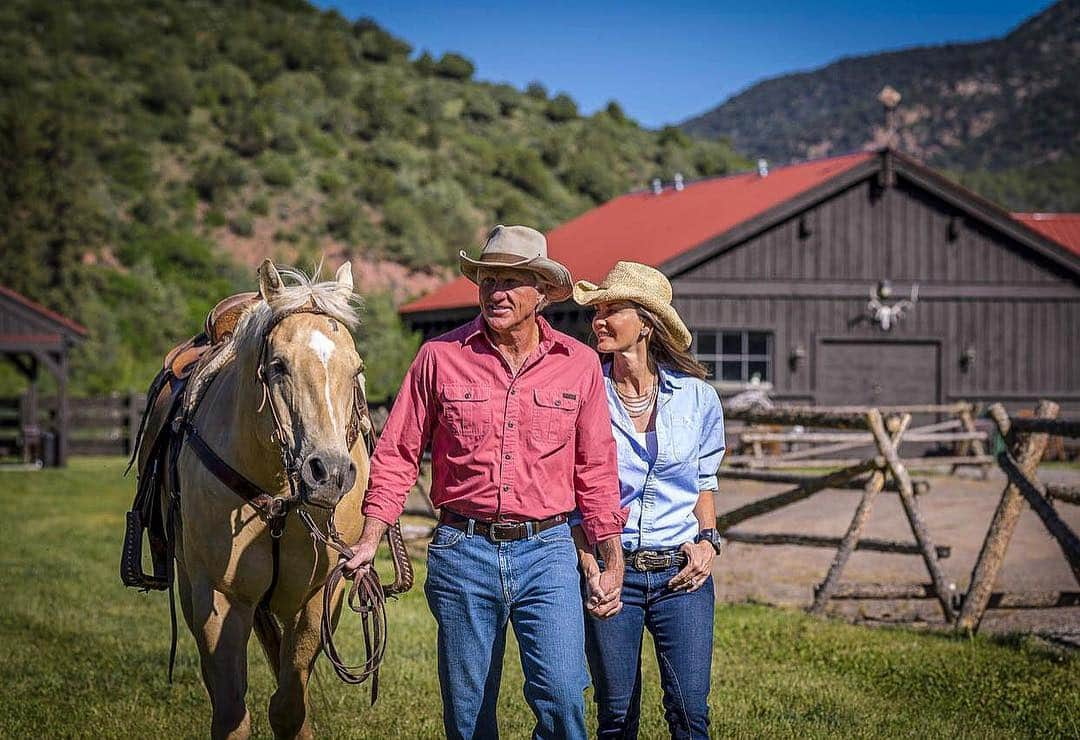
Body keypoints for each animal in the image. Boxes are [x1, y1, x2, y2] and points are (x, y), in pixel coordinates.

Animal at [139, 261, 386, 738]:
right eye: (278, 365)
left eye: (357, 369)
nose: (329, 473)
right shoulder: (219, 597)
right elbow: (232, 711)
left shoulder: (315, 599)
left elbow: (290, 705)